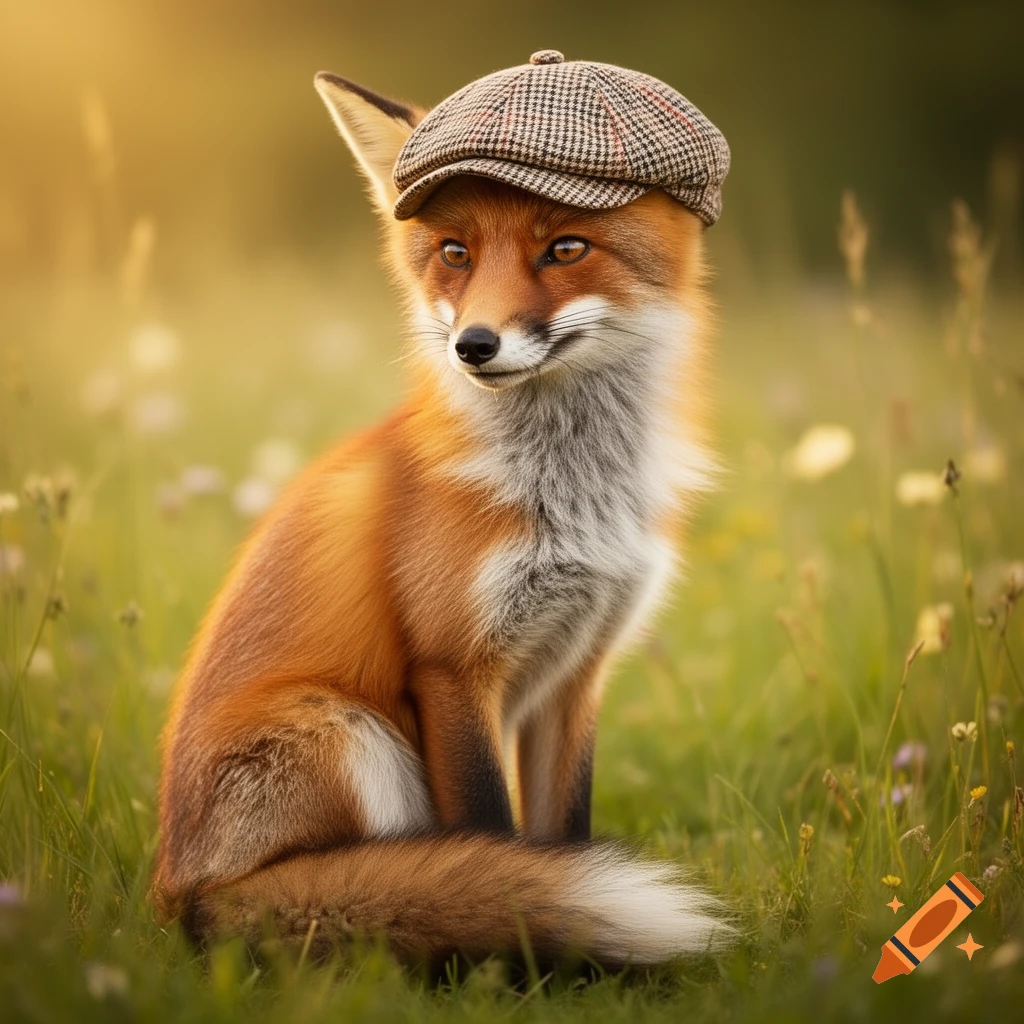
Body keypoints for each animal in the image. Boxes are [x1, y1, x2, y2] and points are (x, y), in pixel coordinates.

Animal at [152, 66, 730, 968]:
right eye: (455, 254)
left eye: (565, 248)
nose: (474, 346)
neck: (573, 495)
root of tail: (182, 896)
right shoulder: (453, 666)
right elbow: (494, 843)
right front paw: (518, 959)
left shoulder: (578, 672)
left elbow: (564, 838)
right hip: (351, 733)